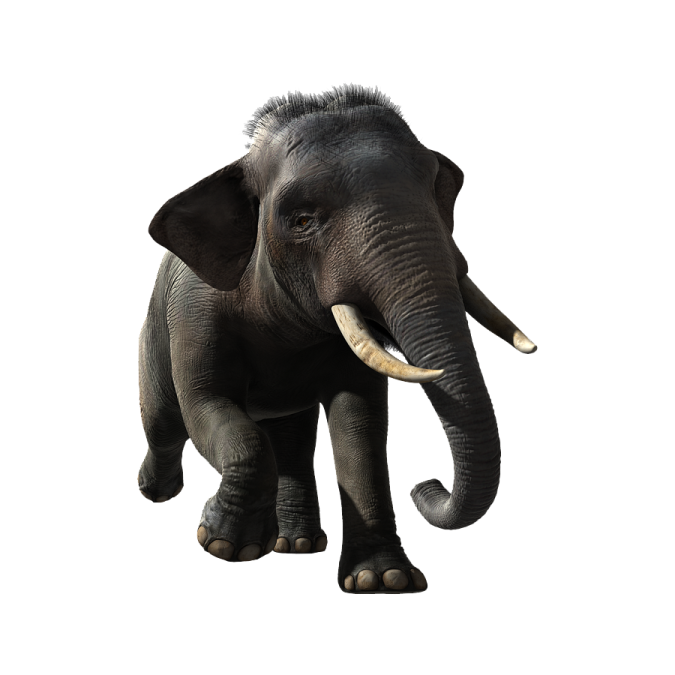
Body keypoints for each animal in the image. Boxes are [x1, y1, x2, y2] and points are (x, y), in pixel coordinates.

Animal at [137, 82, 537, 594]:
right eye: (302, 221)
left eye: (435, 192)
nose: (426, 487)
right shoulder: (197, 314)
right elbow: (208, 403)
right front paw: (225, 545)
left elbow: (360, 423)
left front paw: (382, 580)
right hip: (155, 332)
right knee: (165, 421)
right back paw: (157, 491)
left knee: (290, 437)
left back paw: (297, 545)